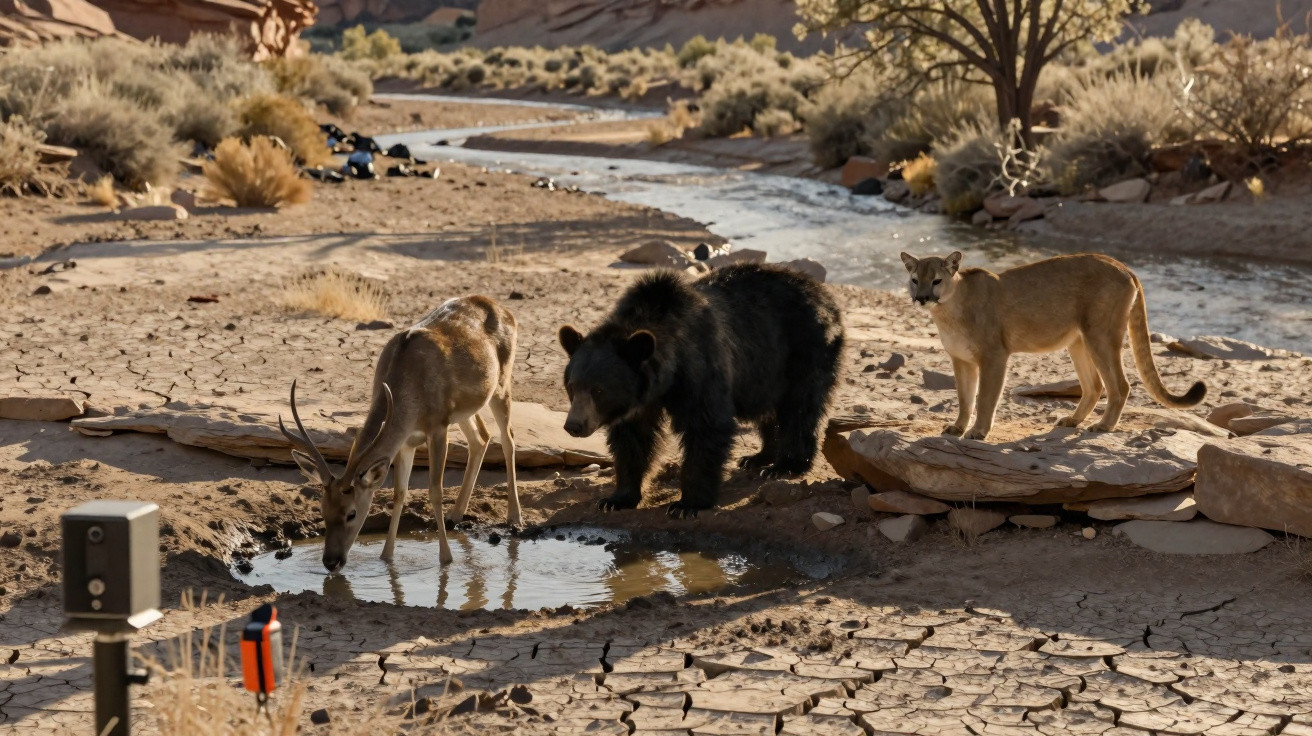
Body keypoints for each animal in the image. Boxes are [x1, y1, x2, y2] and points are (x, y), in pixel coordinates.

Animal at [558, 262, 844, 517]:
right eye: (572, 386)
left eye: (598, 390)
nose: (573, 425)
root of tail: (825, 295)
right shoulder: (639, 400)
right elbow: (633, 439)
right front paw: (615, 499)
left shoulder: (700, 366)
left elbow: (706, 426)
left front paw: (687, 505)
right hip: (766, 371)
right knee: (769, 411)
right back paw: (758, 457)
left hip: (805, 348)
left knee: (800, 407)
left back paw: (785, 465)